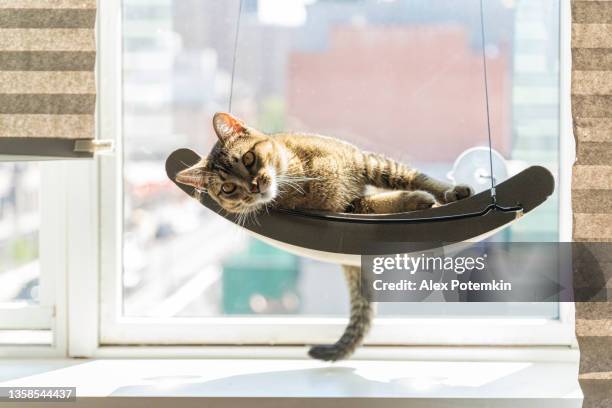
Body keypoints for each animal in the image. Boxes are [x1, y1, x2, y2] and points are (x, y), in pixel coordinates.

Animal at [177, 111, 474, 360]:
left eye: (248, 159)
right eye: (228, 188)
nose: (253, 186)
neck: (300, 172)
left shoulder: (368, 162)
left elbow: (417, 177)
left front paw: (450, 191)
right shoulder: (349, 207)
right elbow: (384, 201)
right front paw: (413, 200)